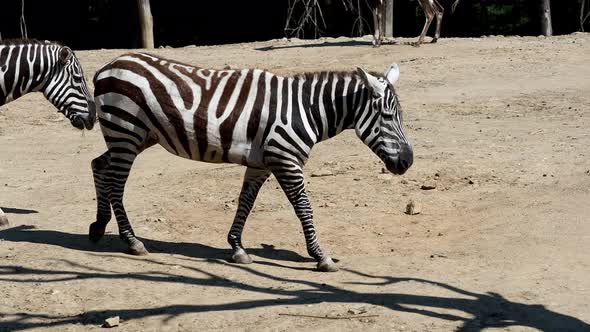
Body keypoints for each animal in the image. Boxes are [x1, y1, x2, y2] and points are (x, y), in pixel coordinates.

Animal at [90, 53, 414, 272]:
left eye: (400, 115)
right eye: (387, 116)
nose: (408, 161)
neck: (306, 110)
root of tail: (109, 65)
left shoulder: (261, 163)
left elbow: (245, 202)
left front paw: (237, 247)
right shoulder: (286, 160)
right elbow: (304, 208)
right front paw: (321, 256)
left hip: (137, 136)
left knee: (99, 165)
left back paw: (98, 226)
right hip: (126, 132)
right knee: (116, 183)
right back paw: (132, 241)